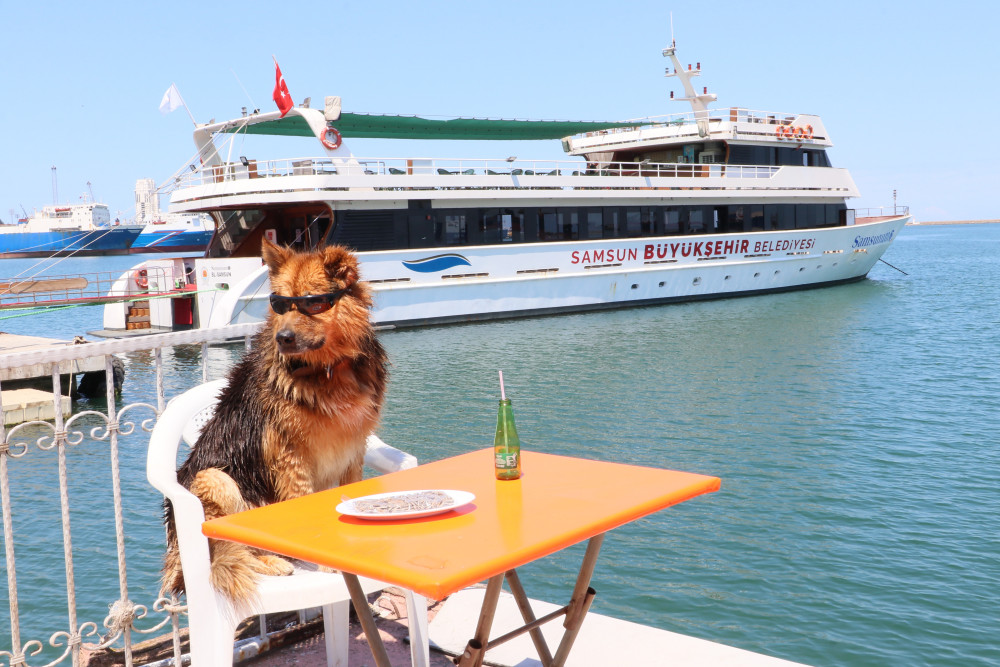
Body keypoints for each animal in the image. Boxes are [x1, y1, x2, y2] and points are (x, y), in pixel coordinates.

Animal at [162, 239, 388, 604]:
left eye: (312, 302)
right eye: (279, 303)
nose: (283, 337)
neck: (328, 370)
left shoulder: (354, 449)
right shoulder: (291, 456)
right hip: (215, 480)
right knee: (225, 554)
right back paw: (269, 561)